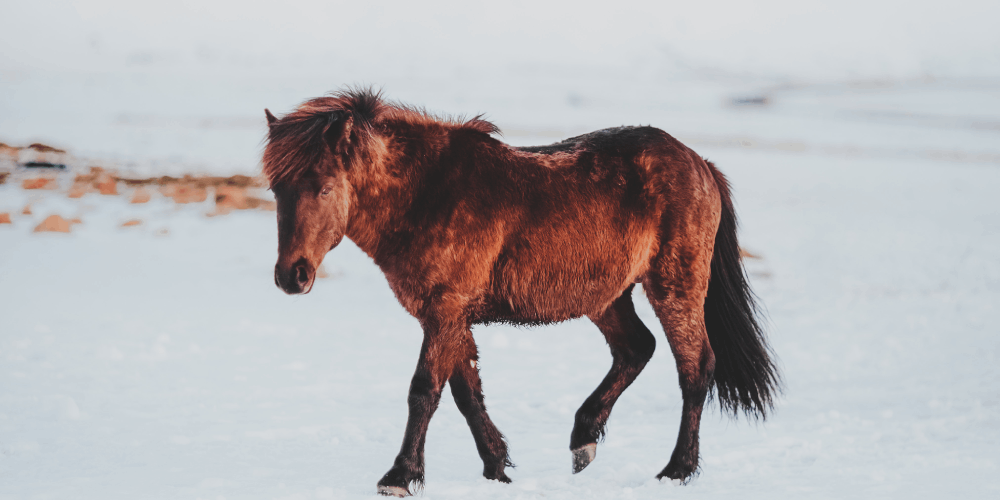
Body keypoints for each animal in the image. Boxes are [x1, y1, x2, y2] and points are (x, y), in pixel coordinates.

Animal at [262, 88, 779, 497]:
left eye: (324, 188)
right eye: (275, 188)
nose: (292, 275)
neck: (426, 195)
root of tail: (699, 163)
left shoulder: (445, 309)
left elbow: (425, 390)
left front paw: (400, 476)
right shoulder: (449, 315)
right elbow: (466, 392)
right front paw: (497, 467)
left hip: (675, 285)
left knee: (695, 367)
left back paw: (676, 470)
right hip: (607, 297)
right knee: (637, 349)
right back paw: (583, 439)